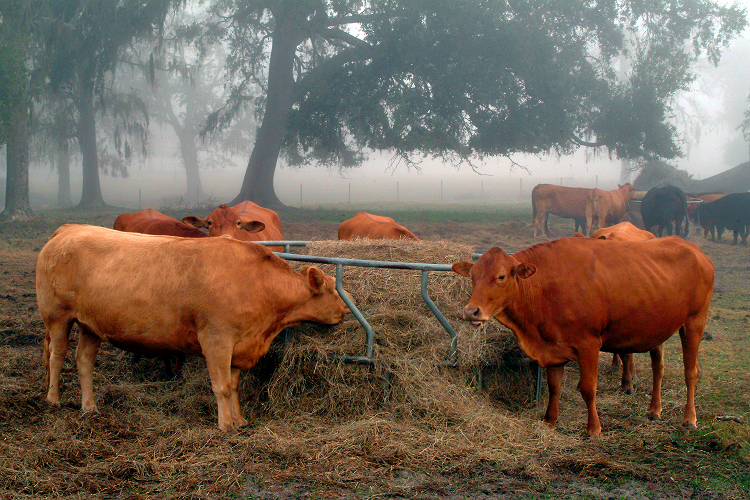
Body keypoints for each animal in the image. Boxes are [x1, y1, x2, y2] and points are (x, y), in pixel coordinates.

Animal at [36, 224, 350, 432]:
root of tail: (68, 229)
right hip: (57, 317)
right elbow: (222, 386)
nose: (347, 311)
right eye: (332, 290)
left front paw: (239, 420)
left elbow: (234, 385)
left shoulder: (238, 345)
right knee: (57, 356)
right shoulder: (216, 339)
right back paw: (53, 400)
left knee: (84, 361)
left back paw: (89, 406)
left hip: (90, 324)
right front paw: (226, 425)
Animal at [452, 236, 714, 437]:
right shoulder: (553, 348)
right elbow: (554, 387)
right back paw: (654, 411)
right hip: (657, 327)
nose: (471, 311)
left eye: (501, 276)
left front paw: (594, 429)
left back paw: (689, 420)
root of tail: (695, 249)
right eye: (473, 276)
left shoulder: (589, 343)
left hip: (694, 321)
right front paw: (549, 421)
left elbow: (588, 388)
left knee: (691, 372)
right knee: (658, 369)